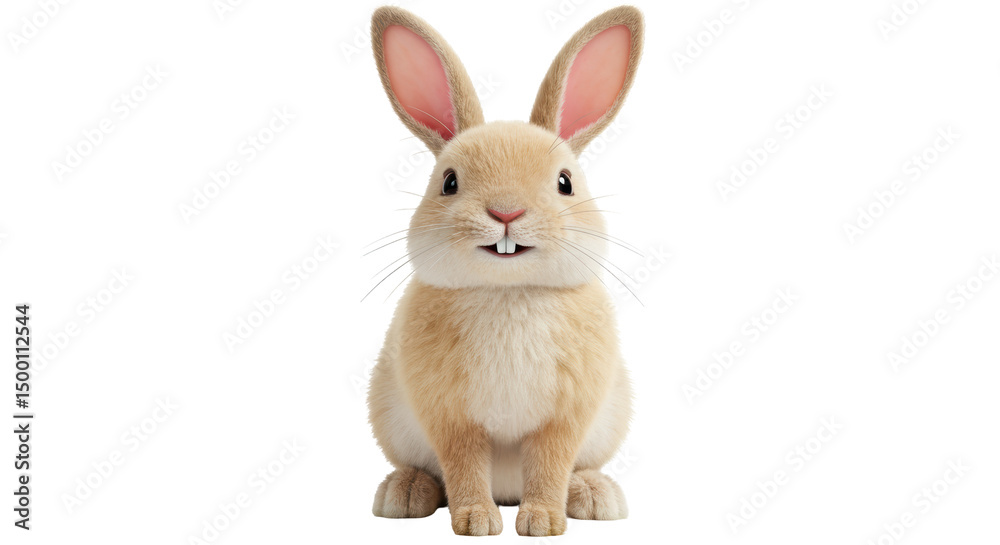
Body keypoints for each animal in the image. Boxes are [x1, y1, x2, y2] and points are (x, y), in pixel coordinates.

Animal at [366, 5, 643, 537]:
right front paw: (476, 521)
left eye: (565, 183)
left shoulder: (564, 420)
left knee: (576, 469)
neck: (509, 292)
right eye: (449, 183)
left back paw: (595, 495)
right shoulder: (451, 419)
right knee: (427, 469)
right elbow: (463, 465)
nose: (506, 212)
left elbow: (551, 464)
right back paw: (404, 493)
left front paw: (542, 523)